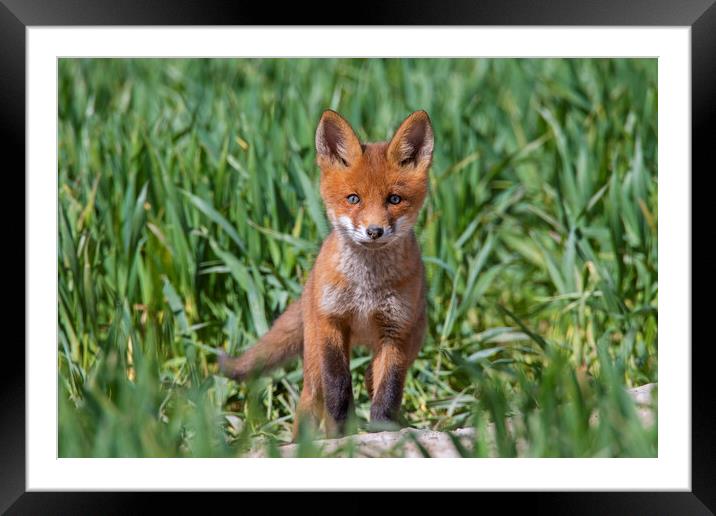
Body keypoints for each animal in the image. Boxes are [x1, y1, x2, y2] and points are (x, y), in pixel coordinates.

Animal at [218, 109, 434, 440]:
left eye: (394, 200)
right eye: (354, 198)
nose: (374, 231)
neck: (366, 289)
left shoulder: (395, 331)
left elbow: (388, 389)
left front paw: (382, 429)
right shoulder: (332, 322)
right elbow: (339, 386)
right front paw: (342, 430)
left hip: (412, 337)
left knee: (374, 375)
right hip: (313, 358)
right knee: (312, 398)